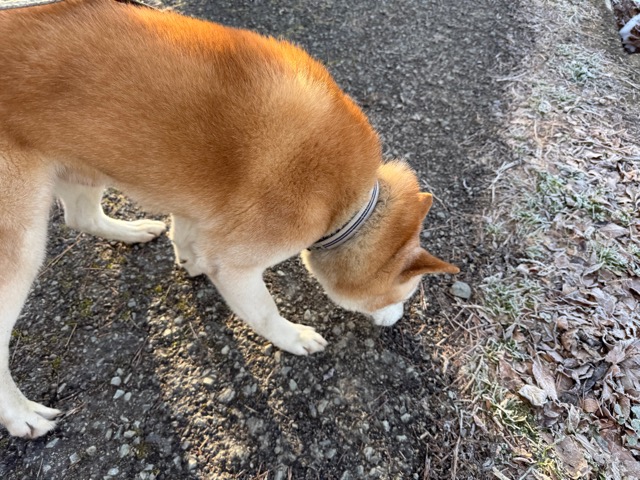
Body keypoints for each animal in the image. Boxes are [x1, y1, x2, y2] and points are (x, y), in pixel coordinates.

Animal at [0, 0, 459, 439]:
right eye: (404, 293)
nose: (397, 322)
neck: (347, 204)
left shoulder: (201, 213)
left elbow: (188, 235)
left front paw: (188, 260)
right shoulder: (239, 261)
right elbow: (265, 312)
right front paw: (294, 338)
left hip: (86, 164)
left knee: (83, 217)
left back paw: (133, 230)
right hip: (19, 244)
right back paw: (21, 416)